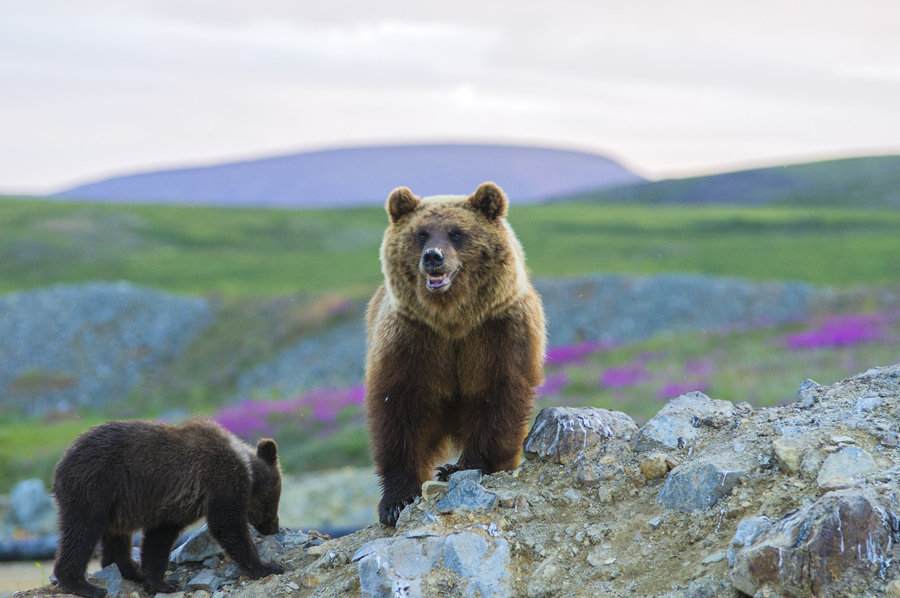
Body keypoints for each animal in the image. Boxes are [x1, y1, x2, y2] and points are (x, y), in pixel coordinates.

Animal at [51, 422, 282, 598]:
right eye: (274, 499)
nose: (274, 527)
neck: (247, 469)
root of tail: (62, 461)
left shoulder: (173, 509)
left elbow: (158, 540)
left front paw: (160, 582)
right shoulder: (221, 481)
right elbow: (227, 524)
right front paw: (266, 567)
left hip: (116, 505)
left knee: (116, 538)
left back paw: (131, 571)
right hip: (95, 486)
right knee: (82, 532)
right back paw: (83, 585)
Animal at [364, 182, 544, 524]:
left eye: (456, 233)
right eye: (421, 233)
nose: (433, 256)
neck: (452, 321)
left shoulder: (497, 333)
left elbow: (497, 398)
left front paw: (464, 467)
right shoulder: (412, 340)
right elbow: (398, 411)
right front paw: (396, 501)